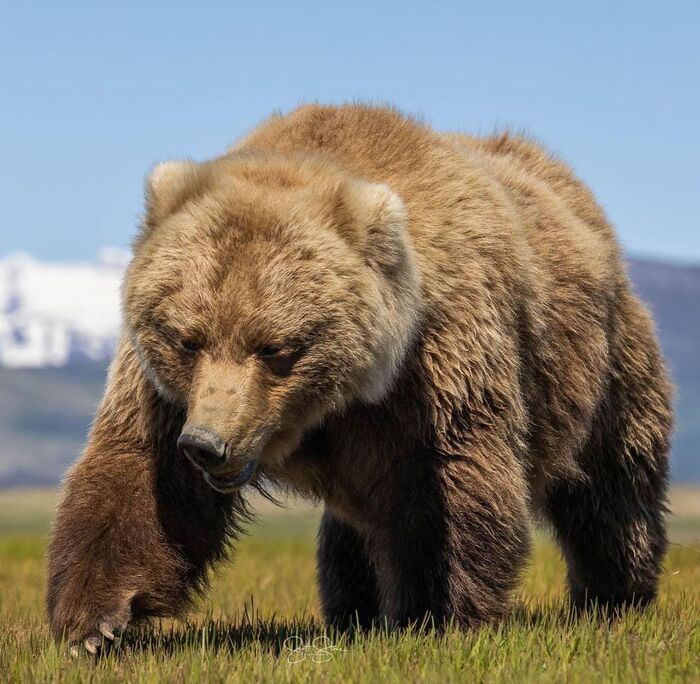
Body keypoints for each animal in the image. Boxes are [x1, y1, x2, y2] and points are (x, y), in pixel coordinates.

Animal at [45, 101, 672, 652]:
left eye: (275, 347)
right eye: (187, 338)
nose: (208, 444)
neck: (336, 403)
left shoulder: (435, 368)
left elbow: (445, 490)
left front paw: (437, 614)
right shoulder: (165, 395)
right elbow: (142, 472)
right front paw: (92, 623)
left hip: (603, 362)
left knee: (613, 487)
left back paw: (616, 596)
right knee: (351, 530)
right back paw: (354, 608)